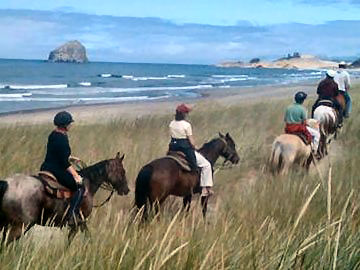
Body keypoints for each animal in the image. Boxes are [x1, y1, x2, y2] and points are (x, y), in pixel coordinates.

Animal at [0, 152, 129, 245]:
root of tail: (7, 183)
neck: (88, 184)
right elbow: (73, 241)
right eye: (122, 171)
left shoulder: (81, 223)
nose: (126, 190)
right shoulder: (77, 223)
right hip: (19, 226)